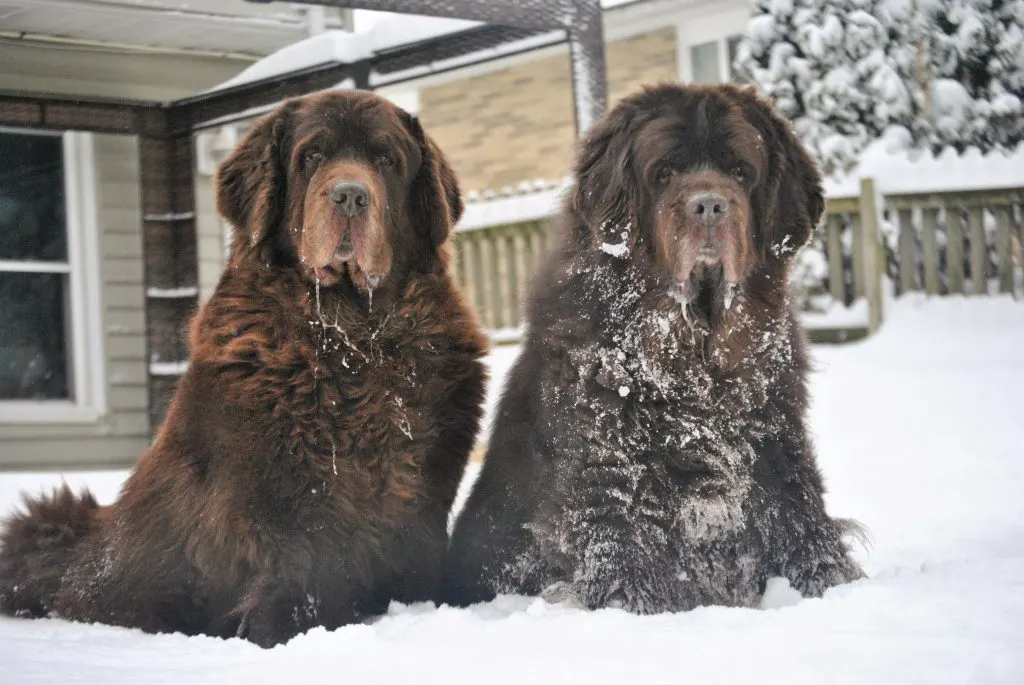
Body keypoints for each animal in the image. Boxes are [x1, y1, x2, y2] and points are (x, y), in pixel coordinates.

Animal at [1, 90, 487, 647]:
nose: (349, 196)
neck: (353, 341)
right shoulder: (285, 503)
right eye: (311, 156)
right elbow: (304, 574)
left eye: (386, 160)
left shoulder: (420, 504)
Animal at [444, 82, 860, 610]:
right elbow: (624, 554)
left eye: (740, 172)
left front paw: (829, 585)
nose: (709, 205)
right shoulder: (610, 471)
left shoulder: (775, 444)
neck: (693, 356)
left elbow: (800, 521)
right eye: (665, 173)